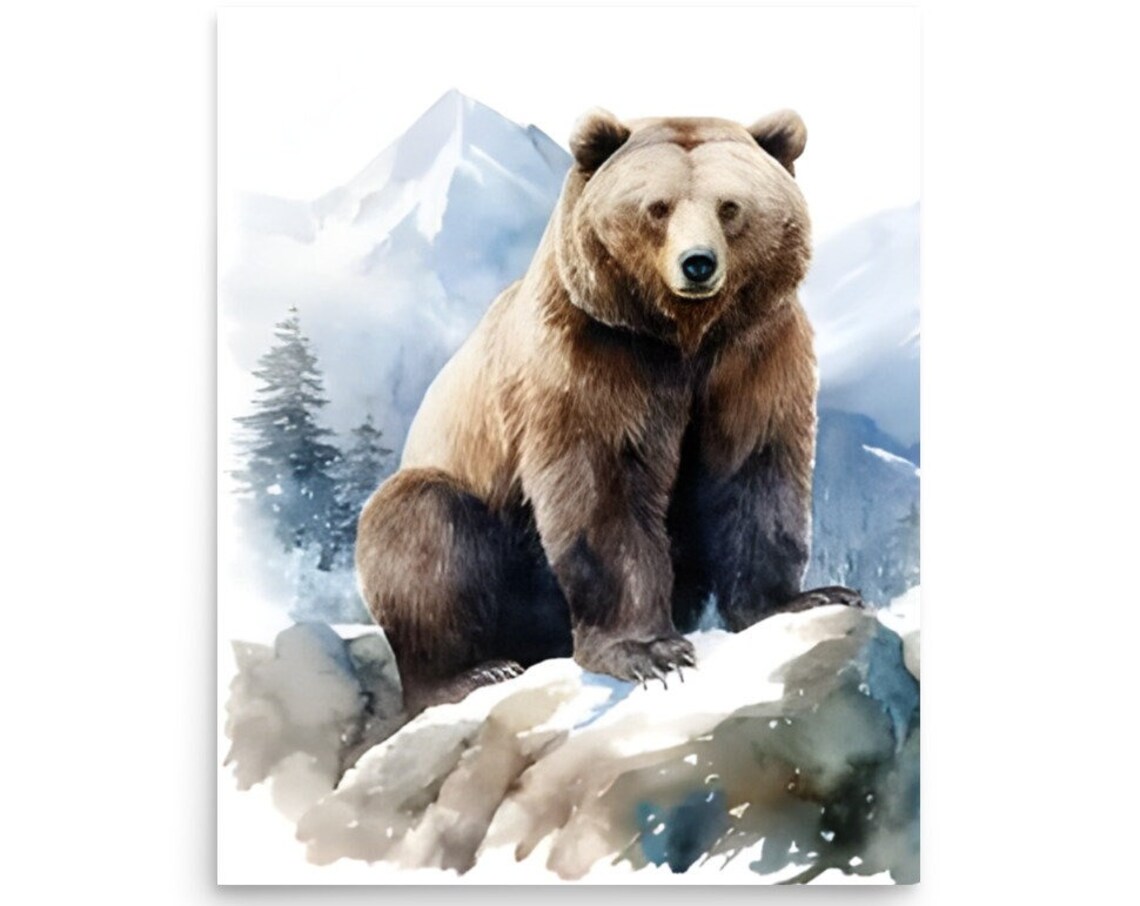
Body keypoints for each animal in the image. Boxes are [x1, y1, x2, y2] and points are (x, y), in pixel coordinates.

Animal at [356, 108, 861, 715]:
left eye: (729, 206)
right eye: (657, 206)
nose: (698, 264)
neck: (681, 337)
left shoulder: (754, 351)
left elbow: (755, 469)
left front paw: (806, 598)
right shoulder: (591, 352)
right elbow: (603, 488)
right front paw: (649, 650)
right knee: (419, 526)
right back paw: (473, 672)